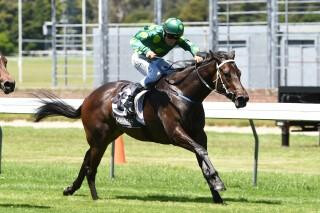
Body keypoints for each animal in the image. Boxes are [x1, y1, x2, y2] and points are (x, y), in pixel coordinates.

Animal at [35, 50, 250, 204]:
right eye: (226, 74)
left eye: (239, 73)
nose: (243, 98)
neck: (183, 95)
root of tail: (88, 98)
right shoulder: (175, 134)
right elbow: (201, 152)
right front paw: (218, 182)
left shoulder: (199, 133)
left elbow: (202, 157)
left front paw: (217, 194)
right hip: (99, 137)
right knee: (91, 166)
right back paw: (95, 197)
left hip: (108, 135)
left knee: (87, 158)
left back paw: (71, 189)